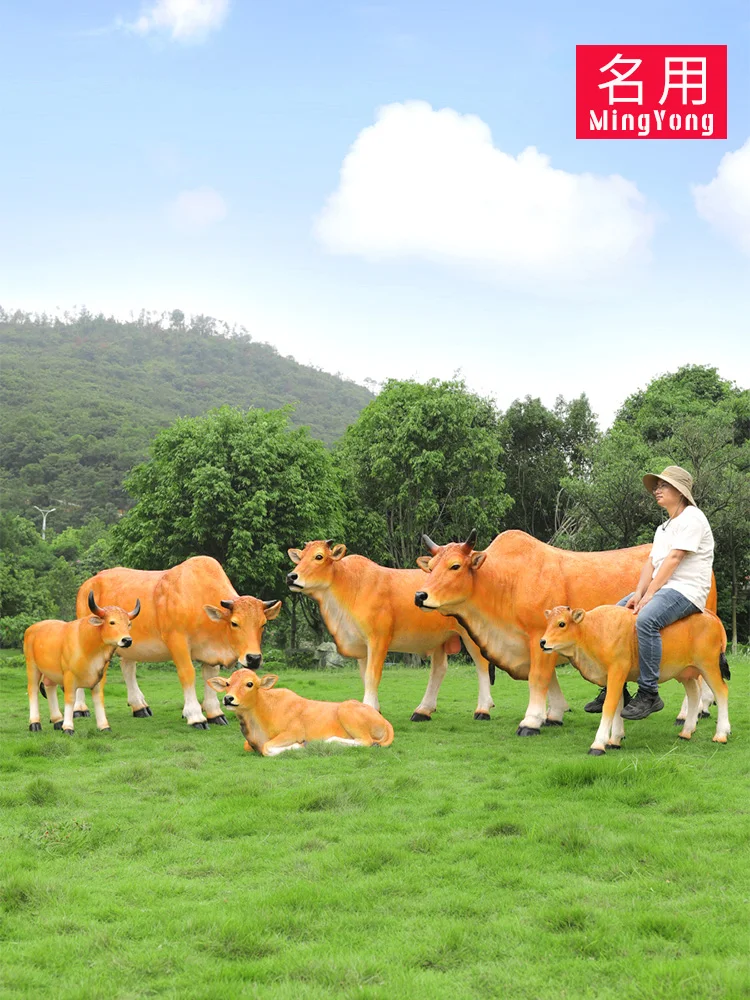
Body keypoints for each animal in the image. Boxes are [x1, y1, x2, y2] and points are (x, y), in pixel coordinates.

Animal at [24, 592, 141, 736]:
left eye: (128, 624)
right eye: (112, 622)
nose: (127, 640)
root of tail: (31, 629)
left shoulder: (99, 676)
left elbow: (98, 699)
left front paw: (104, 726)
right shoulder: (69, 676)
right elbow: (70, 698)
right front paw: (68, 728)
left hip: (50, 672)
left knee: (49, 687)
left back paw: (58, 721)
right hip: (32, 666)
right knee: (33, 690)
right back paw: (35, 723)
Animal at [73, 556, 282, 728]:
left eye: (263, 624)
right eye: (234, 623)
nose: (254, 658)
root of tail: (90, 582)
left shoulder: (210, 652)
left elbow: (210, 677)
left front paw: (215, 713)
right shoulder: (177, 640)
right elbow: (187, 673)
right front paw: (195, 715)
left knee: (128, 668)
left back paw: (139, 706)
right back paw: (80, 709)